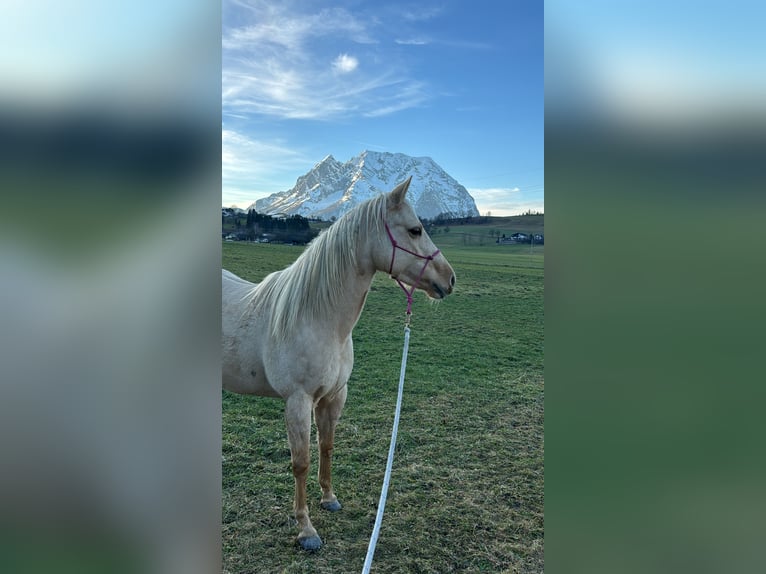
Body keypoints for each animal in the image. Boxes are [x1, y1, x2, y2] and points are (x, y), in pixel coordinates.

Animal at [225, 178, 460, 552]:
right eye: (415, 229)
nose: (449, 279)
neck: (318, 318)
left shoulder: (334, 396)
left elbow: (327, 446)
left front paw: (329, 499)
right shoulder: (298, 402)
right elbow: (301, 462)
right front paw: (306, 529)